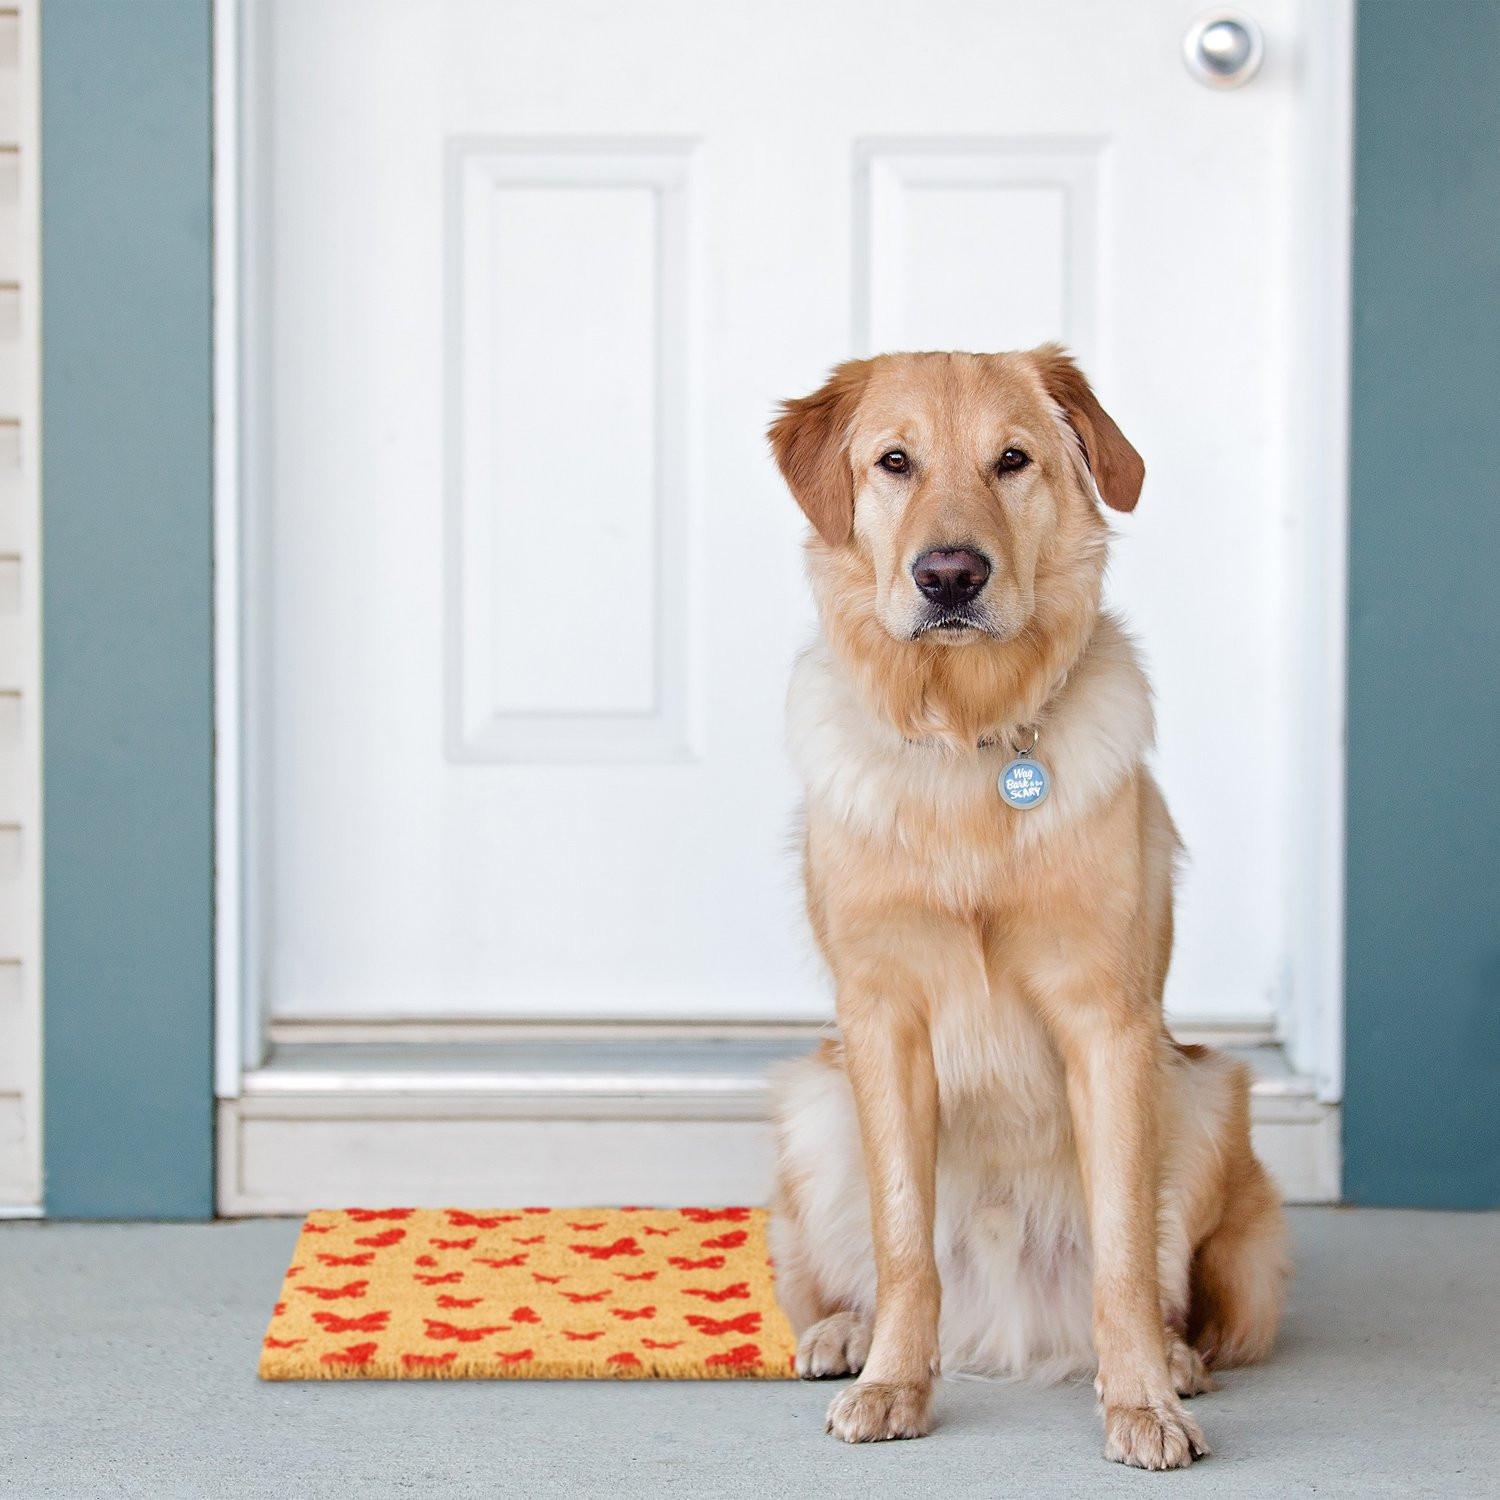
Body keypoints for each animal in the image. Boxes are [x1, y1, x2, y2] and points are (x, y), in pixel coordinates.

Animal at [768, 348, 1284, 1464]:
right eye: (894, 462)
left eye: (1012, 460)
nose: (950, 576)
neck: (967, 740)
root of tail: (1008, 1325)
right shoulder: (882, 1021)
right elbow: (904, 1242)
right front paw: (894, 1384)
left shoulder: (1109, 1023)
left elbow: (1125, 1254)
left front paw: (1141, 1400)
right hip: (813, 1104)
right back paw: (846, 1334)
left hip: (1204, 1094)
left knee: (1173, 1287)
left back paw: (1174, 1359)